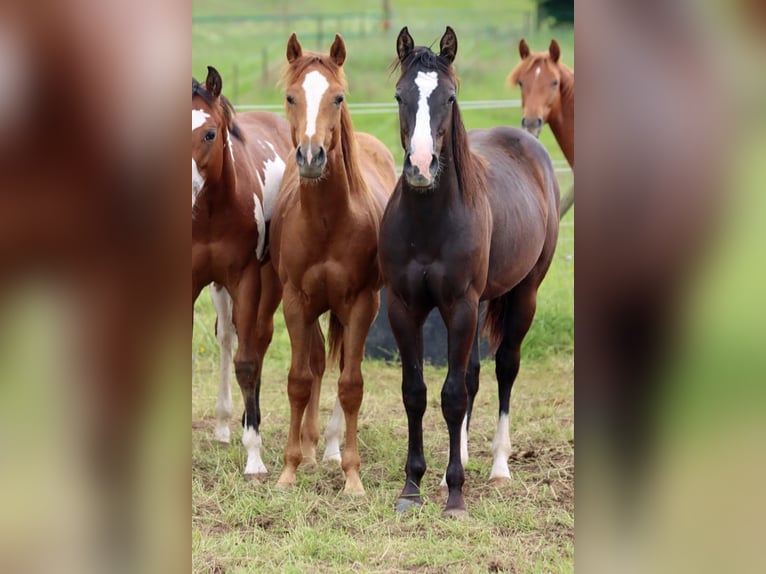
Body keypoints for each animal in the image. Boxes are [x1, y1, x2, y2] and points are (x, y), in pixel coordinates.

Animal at [272, 33, 402, 498]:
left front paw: (352, 476)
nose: (311, 157)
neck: (328, 221)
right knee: (313, 366)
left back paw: (328, 447)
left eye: (338, 97)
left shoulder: (362, 305)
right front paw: (290, 469)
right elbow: (298, 380)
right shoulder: (295, 303)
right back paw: (311, 449)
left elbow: (351, 385)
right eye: (291, 96)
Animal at [380, 27, 560, 520]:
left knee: (504, 368)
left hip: (524, 295)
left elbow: (452, 395)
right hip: (480, 305)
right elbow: (417, 392)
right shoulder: (405, 307)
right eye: (400, 94)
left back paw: (499, 466)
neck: (430, 220)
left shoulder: (459, 306)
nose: (421, 167)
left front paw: (456, 498)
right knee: (473, 375)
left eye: (450, 97)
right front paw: (414, 487)